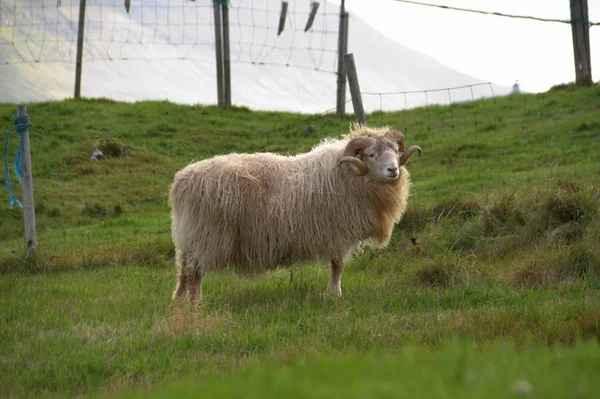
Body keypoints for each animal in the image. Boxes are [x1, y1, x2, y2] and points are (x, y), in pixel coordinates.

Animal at [169, 125, 422, 304]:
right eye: (370, 154)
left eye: (396, 151)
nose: (393, 169)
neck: (347, 174)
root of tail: (182, 182)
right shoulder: (338, 232)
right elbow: (337, 266)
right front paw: (335, 294)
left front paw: (333, 293)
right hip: (206, 236)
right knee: (194, 273)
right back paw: (196, 303)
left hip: (190, 237)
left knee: (184, 270)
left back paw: (178, 300)